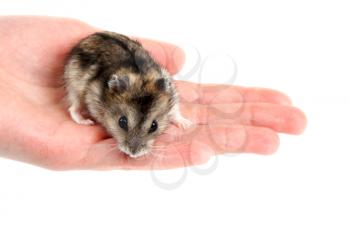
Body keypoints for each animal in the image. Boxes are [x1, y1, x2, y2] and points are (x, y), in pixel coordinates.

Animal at [64, 31, 193, 158]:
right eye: (122, 122)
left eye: (154, 125)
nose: (133, 154)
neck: (141, 79)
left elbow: (175, 113)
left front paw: (187, 125)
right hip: (75, 88)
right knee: (73, 108)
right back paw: (86, 122)